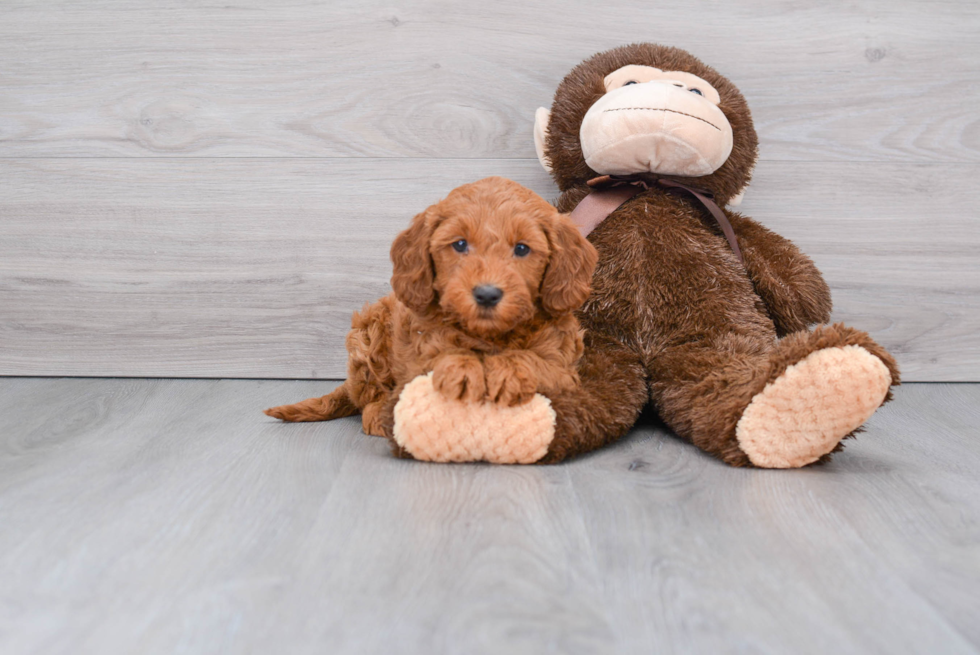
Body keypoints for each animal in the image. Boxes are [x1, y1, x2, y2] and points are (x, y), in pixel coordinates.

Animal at [264, 177, 596, 440]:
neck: (489, 335)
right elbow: (440, 357)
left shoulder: (564, 370)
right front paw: (462, 368)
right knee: (368, 398)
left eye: (523, 249)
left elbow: (536, 361)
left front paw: (509, 370)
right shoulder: (418, 355)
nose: (487, 294)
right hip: (367, 335)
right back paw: (379, 415)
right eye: (460, 244)